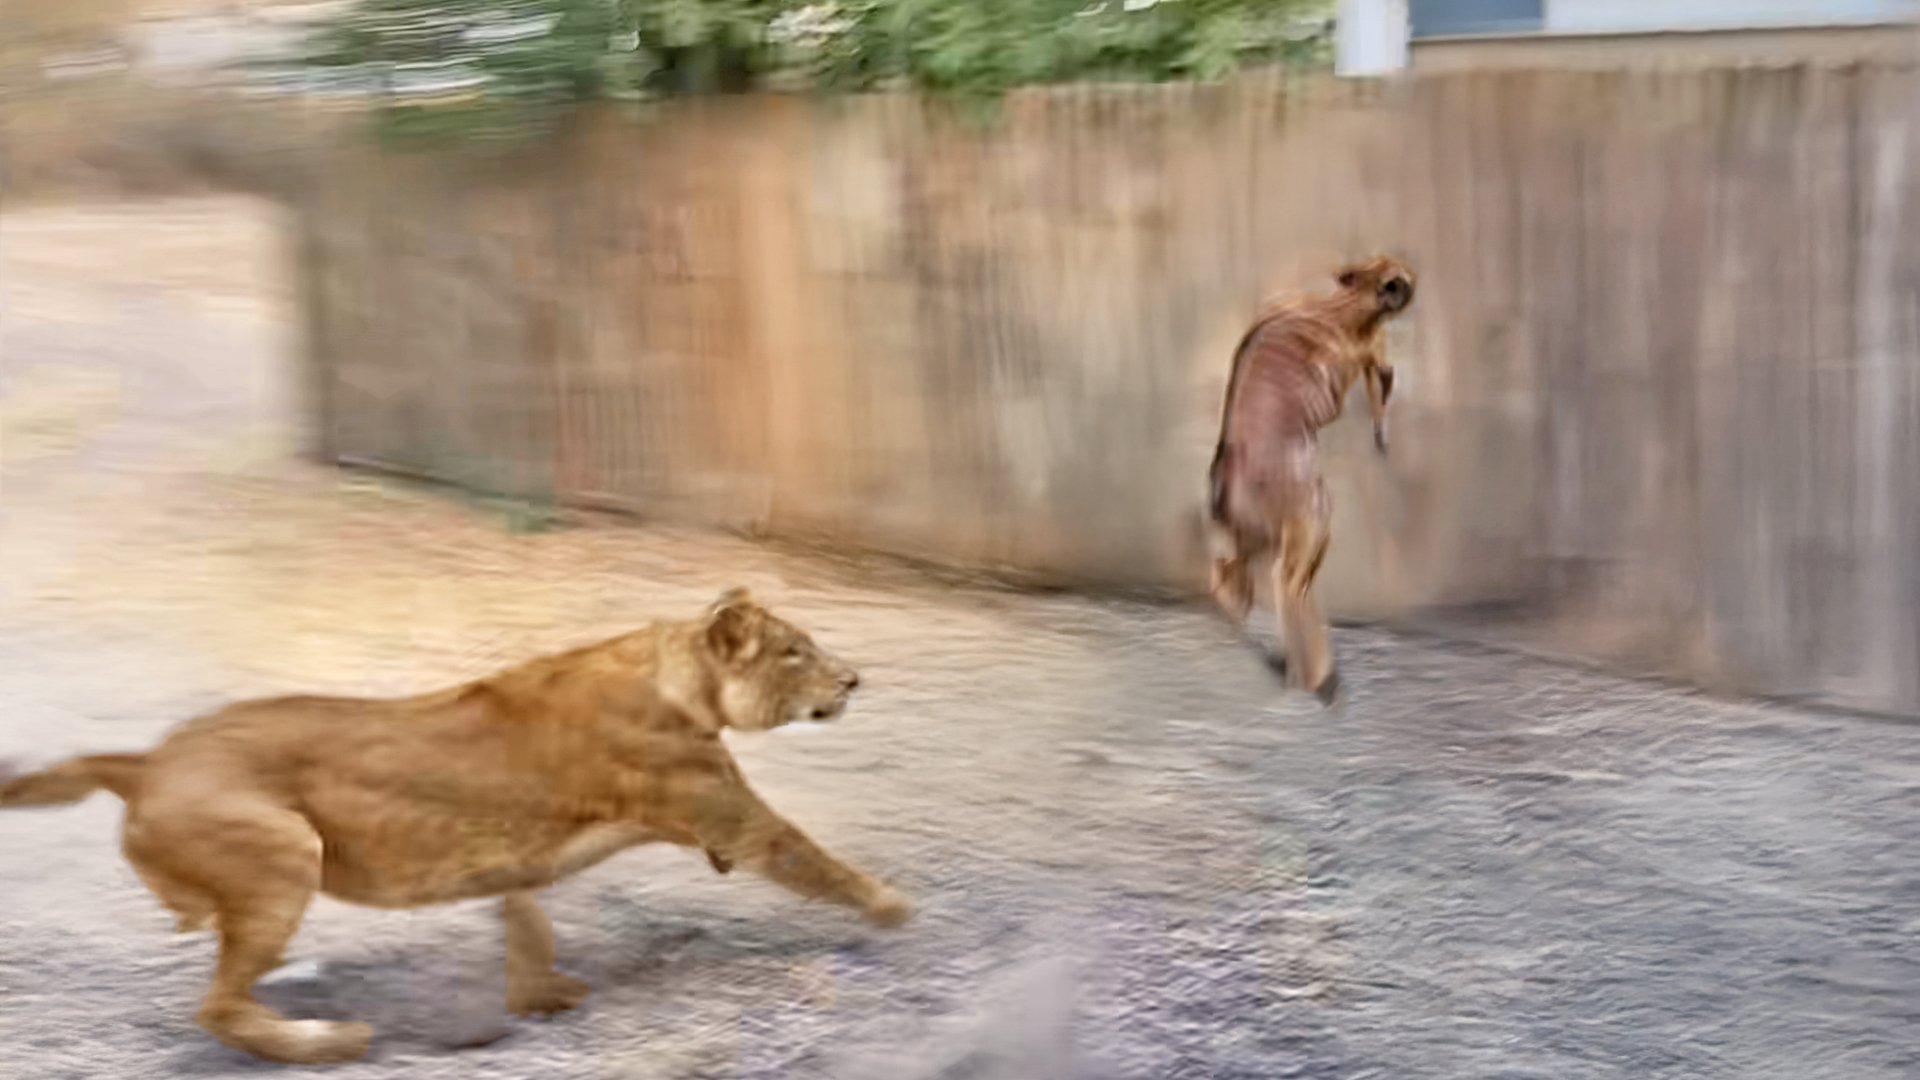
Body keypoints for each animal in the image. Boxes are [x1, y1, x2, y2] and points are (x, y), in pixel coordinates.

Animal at [0, 588, 912, 1064]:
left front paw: (539, 997)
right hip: (284, 855)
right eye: (795, 652)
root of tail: (144, 760)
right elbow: (817, 859)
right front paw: (898, 912)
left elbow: (526, 919)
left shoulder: (518, 858)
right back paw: (326, 1040)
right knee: (217, 1007)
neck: (681, 677)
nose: (856, 680)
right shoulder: (736, 819)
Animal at [1207, 255, 1417, 703]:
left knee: (1235, 577)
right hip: (1310, 519)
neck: (1343, 308)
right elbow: (1372, 372)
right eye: (1389, 276)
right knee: (1287, 587)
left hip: (1261, 535)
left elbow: (1380, 381)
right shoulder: (1351, 356)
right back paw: (1313, 675)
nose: (1401, 281)